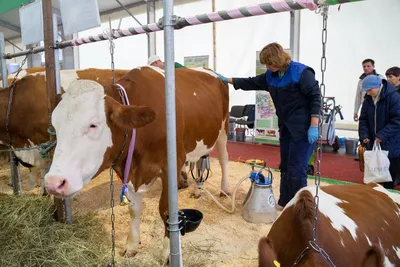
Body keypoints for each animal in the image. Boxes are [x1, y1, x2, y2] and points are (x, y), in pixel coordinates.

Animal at [42, 66, 230, 260]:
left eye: (93, 124)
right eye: (55, 126)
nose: (53, 183)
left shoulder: (172, 164)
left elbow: (166, 211)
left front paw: (168, 252)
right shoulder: (128, 168)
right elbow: (134, 209)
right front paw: (131, 245)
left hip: (223, 128)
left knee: (224, 158)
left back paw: (225, 189)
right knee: (202, 162)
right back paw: (198, 190)